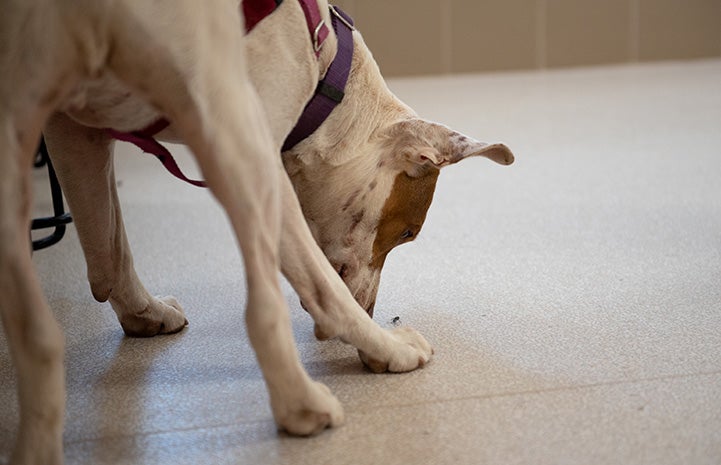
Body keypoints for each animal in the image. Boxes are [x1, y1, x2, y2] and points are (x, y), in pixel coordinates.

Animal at [0, 1, 512, 462]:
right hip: (232, 129)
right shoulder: (258, 149)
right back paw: (302, 403)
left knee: (39, 338)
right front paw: (382, 343)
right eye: (407, 234)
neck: (324, 69)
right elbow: (321, 286)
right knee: (268, 309)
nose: (372, 310)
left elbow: (109, 246)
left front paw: (143, 312)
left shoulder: (72, 128)